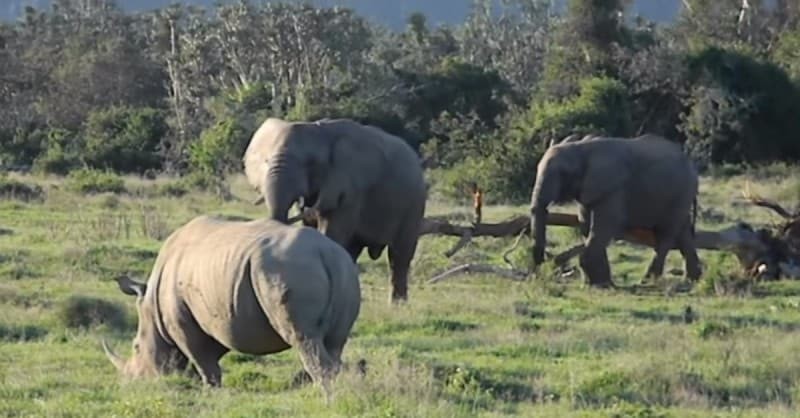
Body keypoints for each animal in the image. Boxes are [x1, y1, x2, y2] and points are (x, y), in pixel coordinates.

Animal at [101, 216, 360, 398]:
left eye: (136, 347)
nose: (133, 383)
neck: (152, 307)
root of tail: (325, 253)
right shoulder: (221, 316)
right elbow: (209, 354)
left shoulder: (182, 324)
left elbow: (202, 359)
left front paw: (209, 392)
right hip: (343, 272)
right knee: (334, 342)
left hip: (288, 270)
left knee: (305, 339)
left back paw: (325, 398)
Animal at [244, 117, 428, 304]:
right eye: (266, 161)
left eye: (310, 163)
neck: (322, 132)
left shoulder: (351, 187)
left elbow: (333, 231)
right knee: (354, 250)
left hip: (415, 203)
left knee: (399, 255)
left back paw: (398, 304)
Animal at [532, 134, 700, 288]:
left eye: (563, 173)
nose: (541, 272)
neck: (581, 148)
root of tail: (692, 167)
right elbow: (586, 226)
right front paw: (599, 282)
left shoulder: (612, 188)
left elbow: (605, 226)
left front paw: (598, 284)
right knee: (683, 232)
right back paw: (692, 281)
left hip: (680, 194)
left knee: (666, 235)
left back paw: (647, 281)